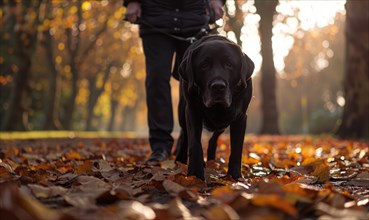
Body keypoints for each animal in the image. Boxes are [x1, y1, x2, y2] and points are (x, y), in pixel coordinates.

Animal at [175, 35, 253, 180]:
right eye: (204, 65)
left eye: (229, 64)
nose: (218, 86)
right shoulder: (192, 112)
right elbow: (195, 143)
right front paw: (195, 173)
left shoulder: (240, 117)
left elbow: (236, 147)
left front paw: (235, 176)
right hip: (182, 113)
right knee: (184, 137)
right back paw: (180, 161)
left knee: (213, 139)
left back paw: (211, 161)